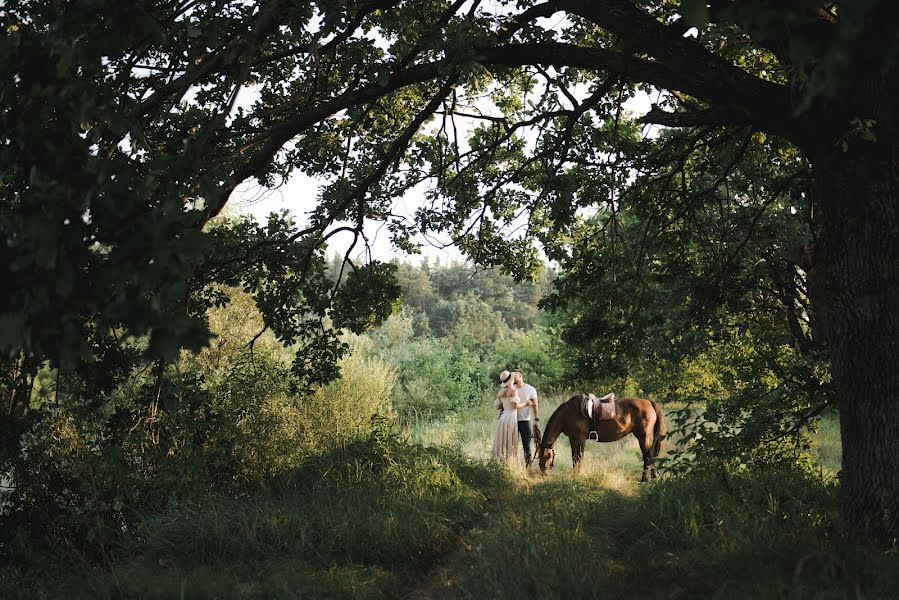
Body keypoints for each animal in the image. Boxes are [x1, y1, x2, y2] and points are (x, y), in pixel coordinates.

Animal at [536, 394, 664, 482]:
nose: (544, 474)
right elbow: (574, 458)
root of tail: (649, 402)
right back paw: (653, 477)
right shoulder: (573, 439)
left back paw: (644, 479)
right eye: (539, 457)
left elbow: (579, 458)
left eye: (547, 456)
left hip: (643, 437)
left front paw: (578, 475)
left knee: (648, 456)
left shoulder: (580, 439)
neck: (568, 413)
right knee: (651, 456)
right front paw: (574, 474)